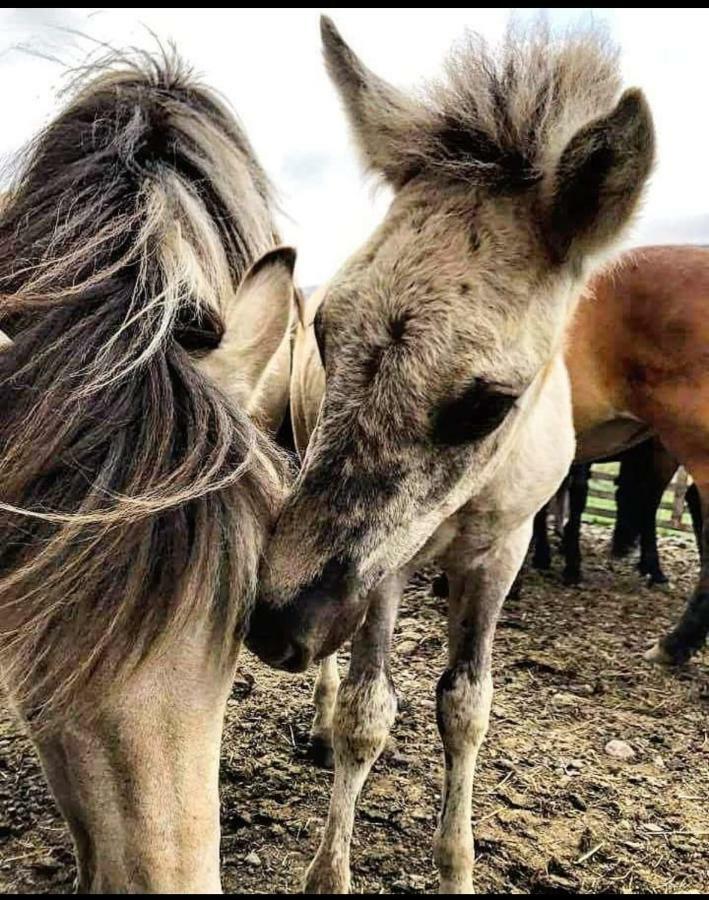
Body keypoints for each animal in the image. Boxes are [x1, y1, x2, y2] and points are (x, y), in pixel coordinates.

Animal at [248, 14, 652, 892]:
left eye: (489, 403)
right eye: (325, 331)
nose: (273, 626)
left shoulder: (499, 554)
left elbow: (465, 706)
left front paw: (456, 865)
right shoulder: (382, 567)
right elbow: (369, 711)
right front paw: (327, 872)